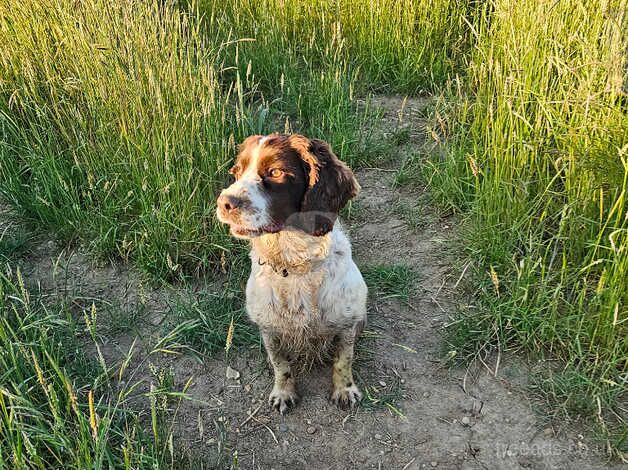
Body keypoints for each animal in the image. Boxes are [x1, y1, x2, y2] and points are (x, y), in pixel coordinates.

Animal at [217, 134, 368, 414]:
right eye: (237, 172)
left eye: (275, 172)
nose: (224, 203)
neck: (294, 264)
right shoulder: (269, 329)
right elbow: (281, 365)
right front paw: (284, 393)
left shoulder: (346, 323)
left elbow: (343, 360)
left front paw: (344, 389)